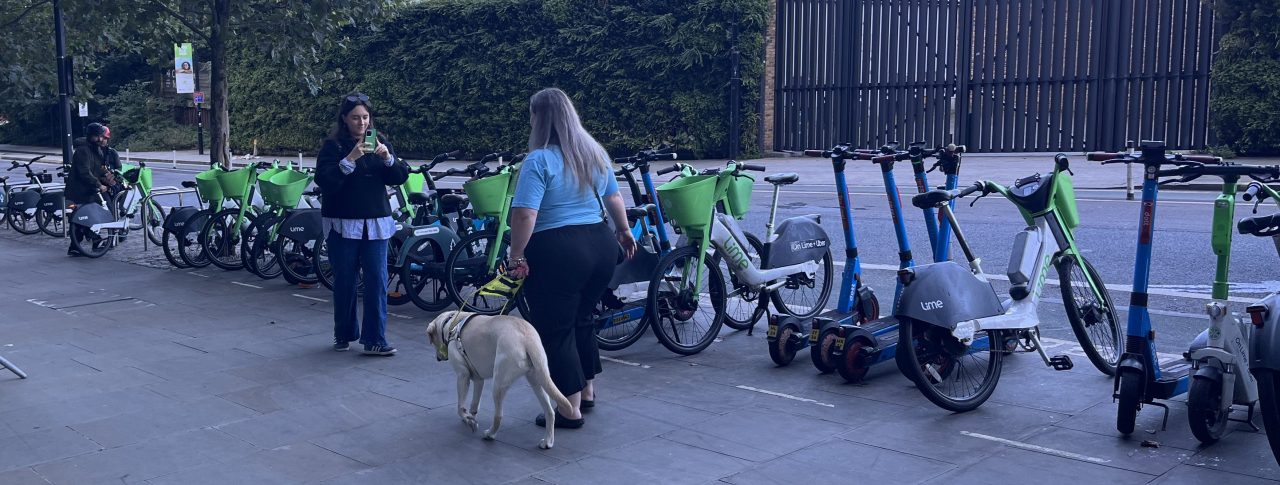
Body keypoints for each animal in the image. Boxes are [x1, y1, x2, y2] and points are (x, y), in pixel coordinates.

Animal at [427, 313, 573, 450]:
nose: (438, 358)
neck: (451, 323)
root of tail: (527, 339)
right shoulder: (478, 380)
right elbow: (474, 405)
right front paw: (470, 418)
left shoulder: (462, 375)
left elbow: (460, 407)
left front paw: (467, 418)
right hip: (538, 380)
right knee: (550, 412)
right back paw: (548, 441)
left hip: (498, 383)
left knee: (498, 415)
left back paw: (490, 434)